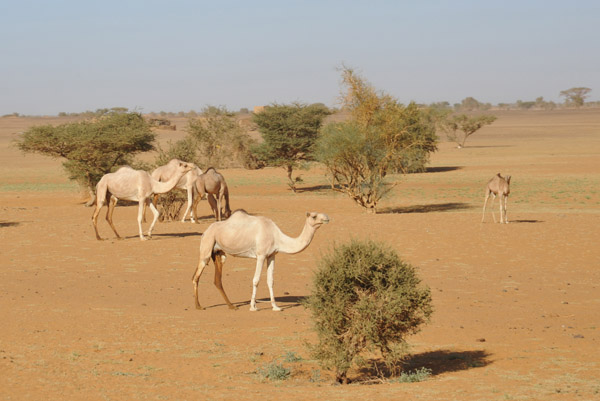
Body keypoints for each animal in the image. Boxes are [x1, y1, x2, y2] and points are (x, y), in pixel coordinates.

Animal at [192, 209, 330, 310]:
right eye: (314, 216)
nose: (327, 218)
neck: (276, 236)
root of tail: (205, 232)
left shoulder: (272, 255)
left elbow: (270, 280)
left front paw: (275, 307)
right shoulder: (261, 255)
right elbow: (256, 280)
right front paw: (253, 307)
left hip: (218, 253)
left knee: (217, 279)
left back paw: (232, 306)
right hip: (207, 245)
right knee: (196, 276)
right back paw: (199, 306)